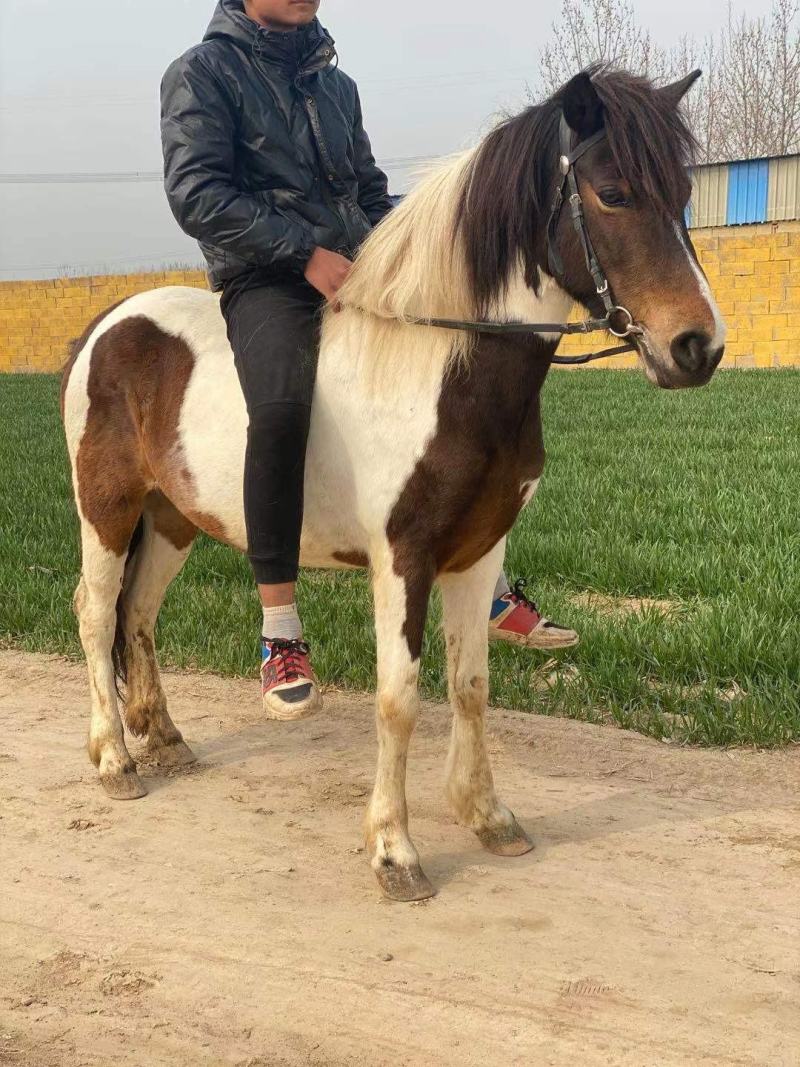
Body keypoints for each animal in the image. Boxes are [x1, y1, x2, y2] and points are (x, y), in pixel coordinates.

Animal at [61, 68, 725, 901]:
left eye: (683, 194)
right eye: (612, 192)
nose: (698, 346)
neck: (446, 370)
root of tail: (107, 323)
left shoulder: (476, 553)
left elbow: (470, 684)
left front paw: (488, 815)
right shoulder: (403, 560)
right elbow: (399, 697)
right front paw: (394, 850)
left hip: (174, 518)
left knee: (140, 615)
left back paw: (166, 737)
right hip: (108, 508)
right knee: (95, 614)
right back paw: (115, 758)